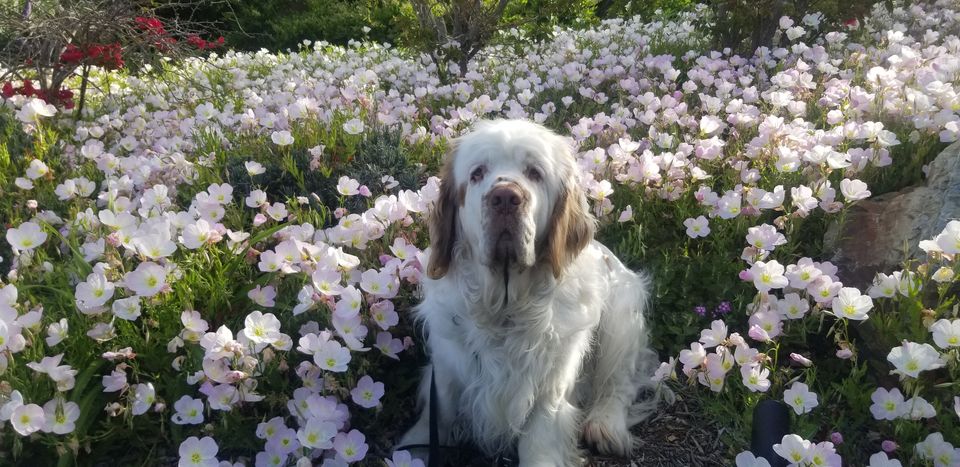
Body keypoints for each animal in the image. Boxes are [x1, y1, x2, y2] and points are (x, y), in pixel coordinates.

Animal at [398, 119, 660, 466]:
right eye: (477, 173)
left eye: (535, 173)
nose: (505, 197)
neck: (504, 309)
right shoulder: (447, 366)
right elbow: (437, 415)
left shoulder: (551, 384)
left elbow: (541, 435)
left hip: (621, 315)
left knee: (619, 383)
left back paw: (606, 426)